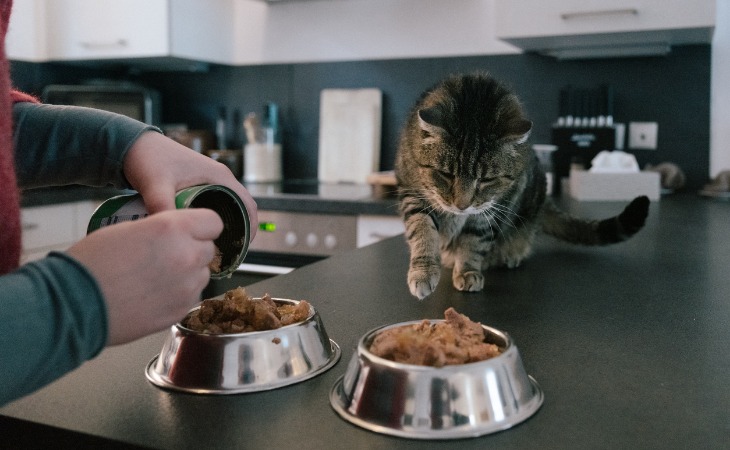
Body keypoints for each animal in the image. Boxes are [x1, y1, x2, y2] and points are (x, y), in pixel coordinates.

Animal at [396, 73, 644, 298]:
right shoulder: (411, 192)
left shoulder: (491, 209)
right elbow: (423, 230)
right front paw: (424, 272)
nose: (461, 206)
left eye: (486, 179)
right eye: (446, 174)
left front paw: (467, 270)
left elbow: (473, 242)